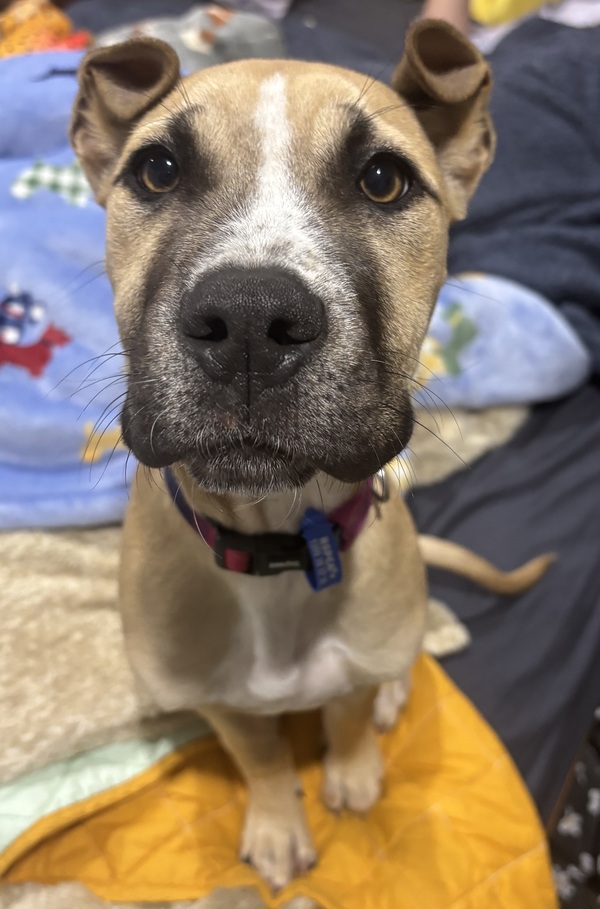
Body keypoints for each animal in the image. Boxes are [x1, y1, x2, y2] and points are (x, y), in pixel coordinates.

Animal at [70, 21, 550, 898]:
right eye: (158, 170)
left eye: (384, 180)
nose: (249, 320)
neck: (282, 547)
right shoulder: (223, 706)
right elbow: (257, 753)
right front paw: (275, 819)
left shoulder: (355, 661)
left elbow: (350, 711)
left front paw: (353, 769)